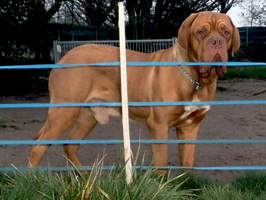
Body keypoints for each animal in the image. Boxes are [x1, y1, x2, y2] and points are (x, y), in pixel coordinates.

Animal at [28, 11, 240, 172]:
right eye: (201, 32)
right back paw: (33, 182)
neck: (195, 79)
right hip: (64, 112)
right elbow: (161, 164)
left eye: (226, 32)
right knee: (38, 147)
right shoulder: (158, 125)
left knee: (70, 144)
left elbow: (187, 165)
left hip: (87, 116)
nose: (217, 42)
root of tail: (63, 59)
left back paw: (85, 176)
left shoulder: (190, 127)